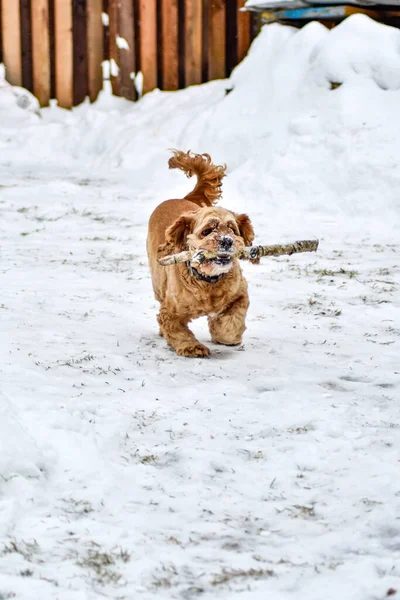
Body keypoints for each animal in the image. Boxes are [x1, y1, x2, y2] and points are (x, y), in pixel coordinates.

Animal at [147, 151, 256, 356]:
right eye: (207, 231)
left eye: (232, 229)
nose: (227, 241)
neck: (208, 282)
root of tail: (179, 198)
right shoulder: (170, 311)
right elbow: (176, 329)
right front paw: (192, 347)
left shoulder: (240, 293)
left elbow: (231, 322)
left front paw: (225, 335)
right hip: (157, 282)